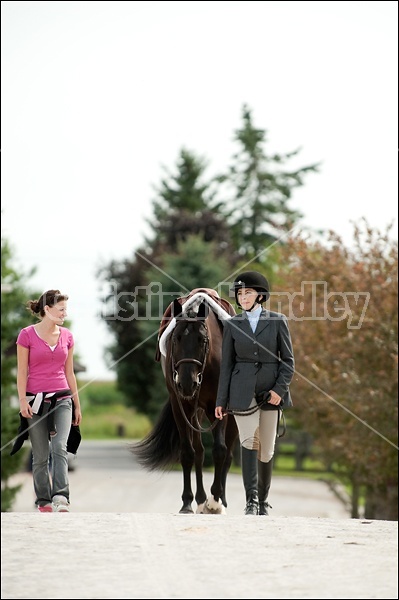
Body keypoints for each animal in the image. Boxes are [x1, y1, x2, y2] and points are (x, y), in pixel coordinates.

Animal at [132, 292, 238, 512]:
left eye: (202, 339)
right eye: (176, 338)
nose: (187, 383)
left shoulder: (219, 407)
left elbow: (220, 450)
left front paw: (215, 500)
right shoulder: (181, 407)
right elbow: (188, 452)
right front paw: (188, 501)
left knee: (228, 455)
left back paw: (221, 501)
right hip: (195, 412)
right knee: (199, 451)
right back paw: (200, 499)